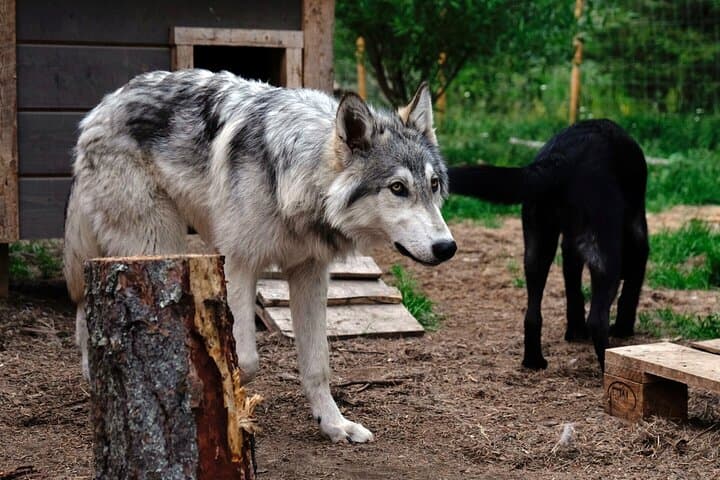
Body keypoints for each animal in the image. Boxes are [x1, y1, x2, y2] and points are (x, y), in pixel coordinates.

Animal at [63, 69, 456, 443]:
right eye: (397, 188)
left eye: (433, 184)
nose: (447, 247)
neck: (297, 176)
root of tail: (103, 105)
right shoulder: (239, 264)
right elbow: (246, 359)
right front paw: (232, 408)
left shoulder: (310, 274)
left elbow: (317, 364)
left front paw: (334, 426)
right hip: (157, 242)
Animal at [448, 119, 648, 370]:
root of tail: (561, 158)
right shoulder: (638, 242)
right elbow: (630, 293)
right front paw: (623, 329)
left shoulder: (569, 250)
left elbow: (573, 293)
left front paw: (575, 332)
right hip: (604, 257)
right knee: (597, 318)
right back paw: (607, 365)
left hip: (537, 248)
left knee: (532, 315)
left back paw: (534, 361)